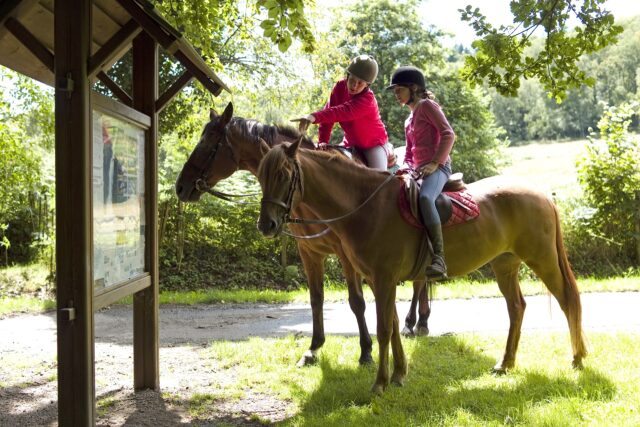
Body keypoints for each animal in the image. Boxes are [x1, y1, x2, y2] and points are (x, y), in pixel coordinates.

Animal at [176, 103, 430, 368]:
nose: (180, 187)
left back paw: (415, 323)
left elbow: (356, 301)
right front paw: (313, 348)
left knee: (419, 282)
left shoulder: (346, 255)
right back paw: (417, 322)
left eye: (209, 143)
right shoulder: (309, 252)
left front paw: (366, 351)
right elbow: (316, 298)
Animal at [258, 140, 588, 394]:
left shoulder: (384, 279)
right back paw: (506, 364)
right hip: (505, 265)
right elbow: (392, 327)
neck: (366, 206)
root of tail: (542, 194)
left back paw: (578, 358)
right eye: (261, 175)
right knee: (517, 307)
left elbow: (382, 329)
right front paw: (398, 374)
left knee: (567, 299)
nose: (266, 225)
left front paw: (380, 383)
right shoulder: (379, 281)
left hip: (542, 259)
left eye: (284, 174)